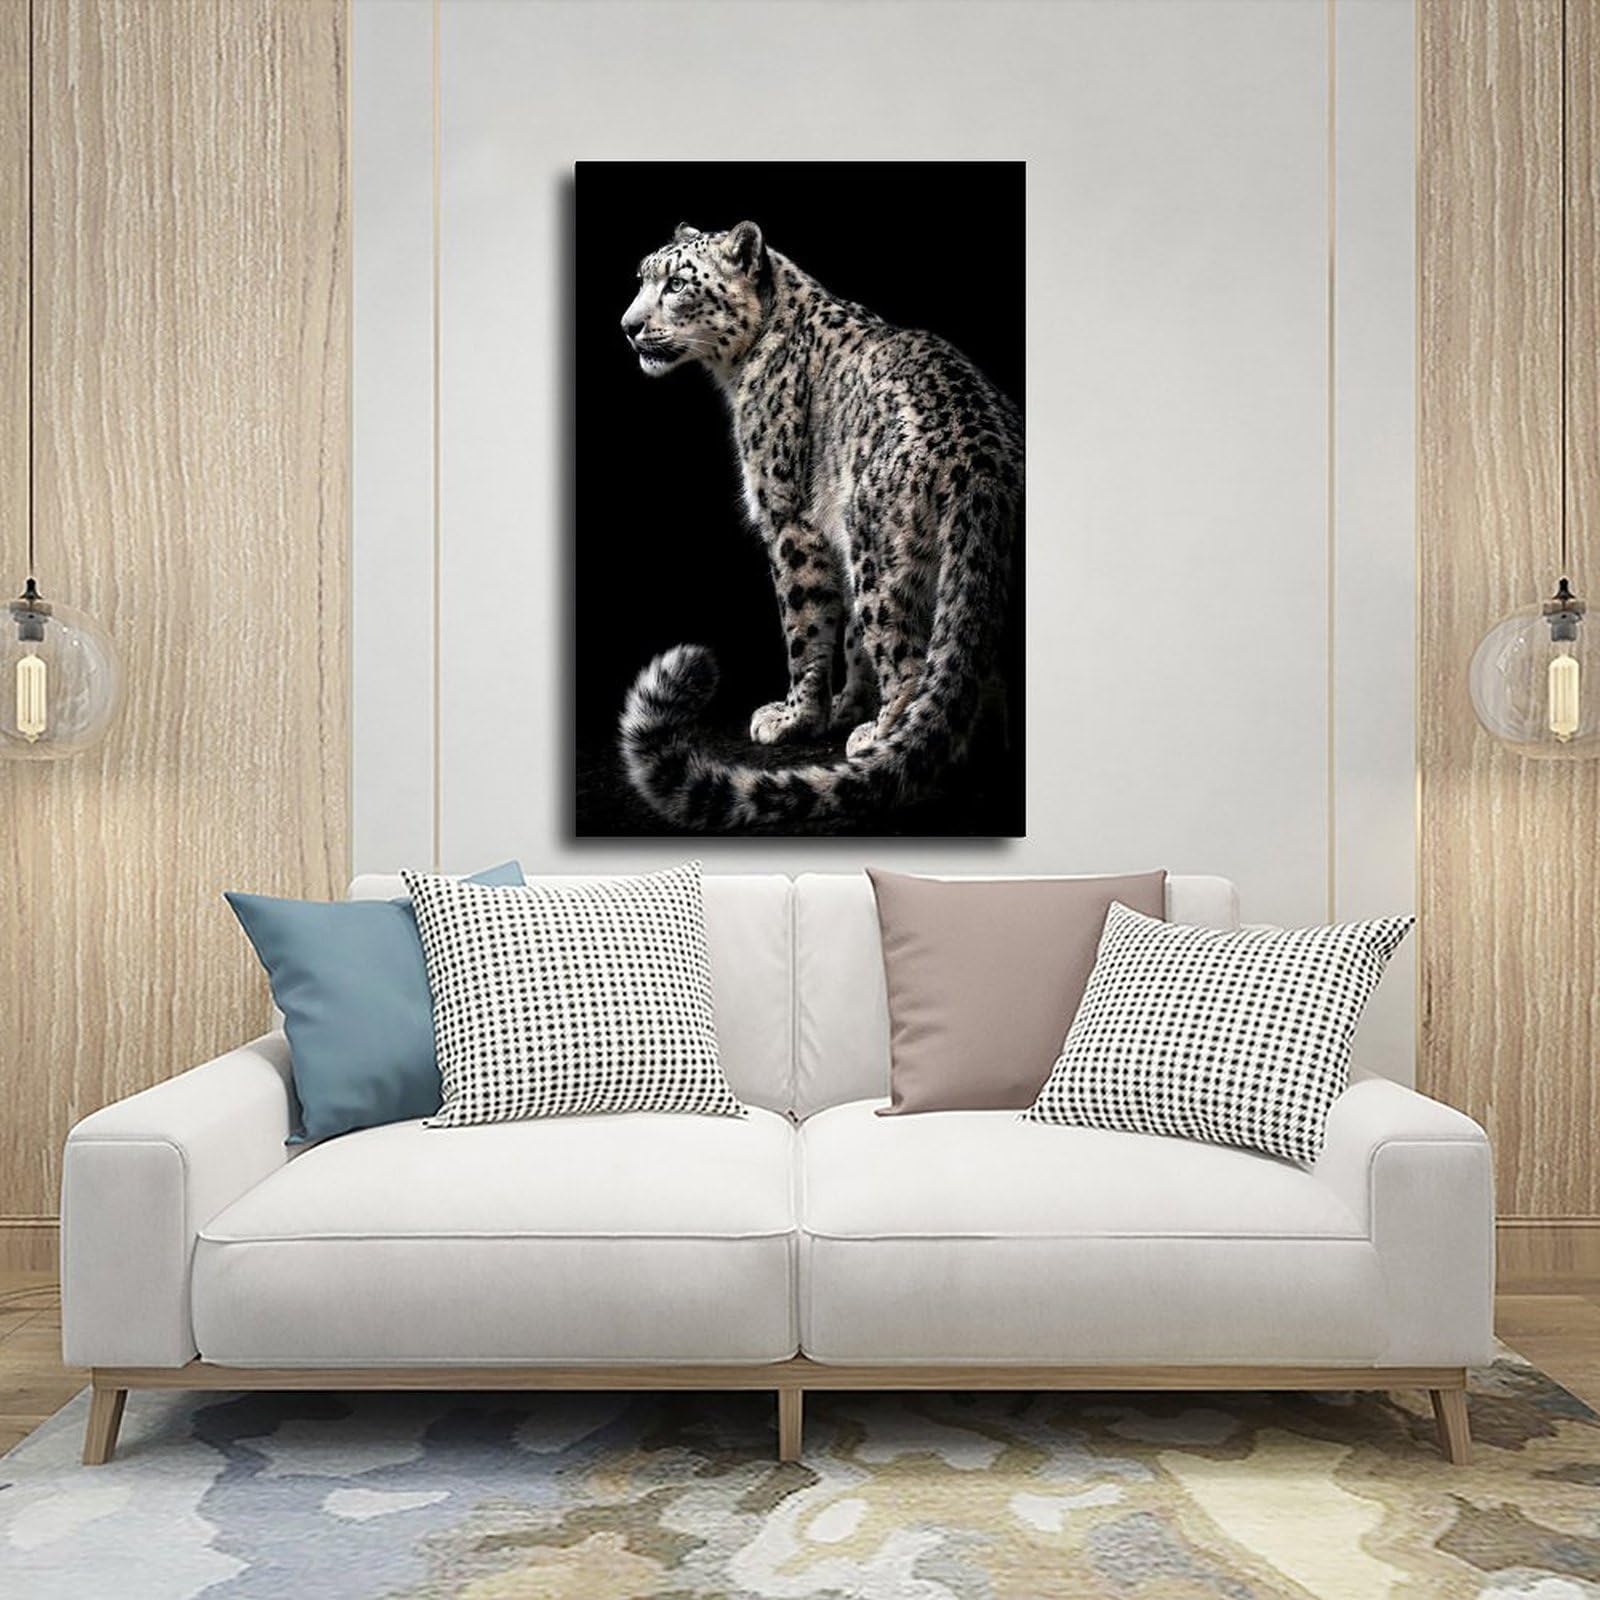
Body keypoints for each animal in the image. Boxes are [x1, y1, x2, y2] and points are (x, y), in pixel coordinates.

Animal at [615, 219, 1022, 831]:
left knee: (908, 660)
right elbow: (849, 636)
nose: (629, 326)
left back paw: (883, 736)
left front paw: (795, 718)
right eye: (642, 278)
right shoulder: (833, 535)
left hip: (880, 554)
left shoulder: (789, 520)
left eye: (678, 284)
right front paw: (848, 704)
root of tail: (983, 464)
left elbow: (804, 630)